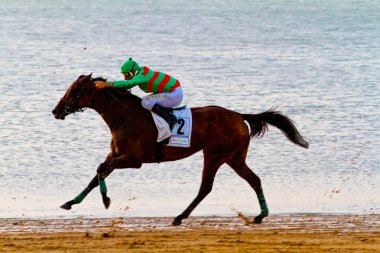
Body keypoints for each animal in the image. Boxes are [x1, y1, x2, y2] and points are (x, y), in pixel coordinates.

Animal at [51, 73, 308, 225]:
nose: (56, 111)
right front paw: (70, 202)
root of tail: (239, 115)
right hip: (234, 157)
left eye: (75, 91)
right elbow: (98, 174)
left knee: (206, 187)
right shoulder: (116, 154)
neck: (125, 117)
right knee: (254, 179)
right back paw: (260, 215)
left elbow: (100, 169)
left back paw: (179, 216)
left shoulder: (133, 160)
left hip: (214, 154)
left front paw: (105, 200)